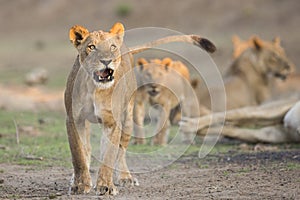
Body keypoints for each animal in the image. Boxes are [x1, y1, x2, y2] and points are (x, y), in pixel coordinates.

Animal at [65, 21, 216, 195]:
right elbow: (78, 154)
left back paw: (125, 178)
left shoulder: (112, 121)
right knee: (89, 149)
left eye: (112, 47)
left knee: (120, 150)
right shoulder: (74, 119)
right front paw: (80, 184)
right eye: (91, 47)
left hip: (128, 118)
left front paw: (106, 186)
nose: (107, 61)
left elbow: (109, 153)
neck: (93, 87)